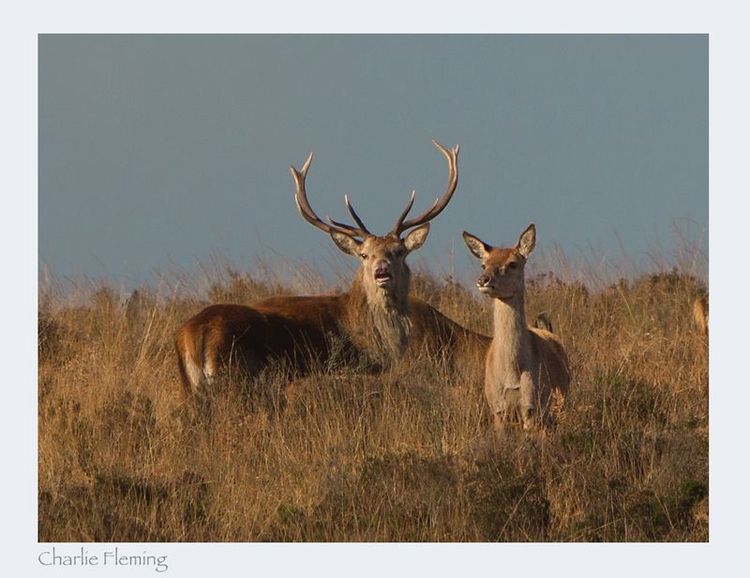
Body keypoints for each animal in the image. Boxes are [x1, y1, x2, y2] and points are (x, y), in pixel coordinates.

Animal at [175, 140, 487, 400]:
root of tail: (196, 334)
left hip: (192, 387)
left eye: (399, 251)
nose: (381, 271)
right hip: (237, 376)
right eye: (364, 255)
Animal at [462, 224, 570, 431]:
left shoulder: (531, 406)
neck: (513, 373)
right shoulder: (497, 408)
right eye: (483, 264)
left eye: (513, 263)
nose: (483, 280)